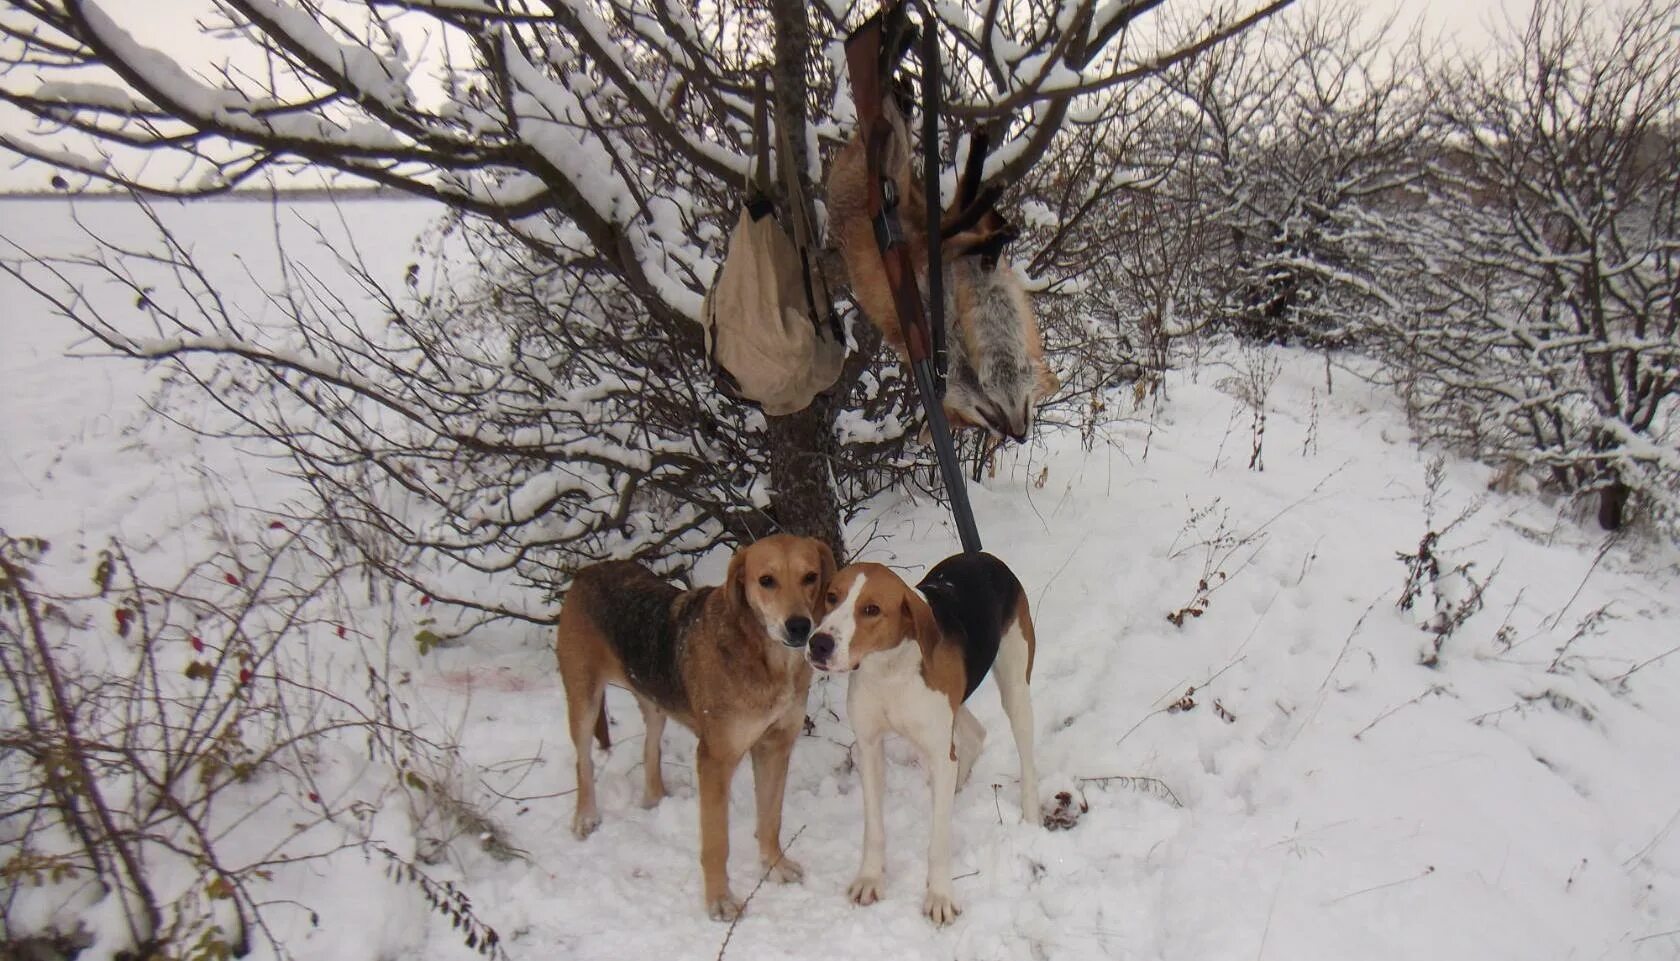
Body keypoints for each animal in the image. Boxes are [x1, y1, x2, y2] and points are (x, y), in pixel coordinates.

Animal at [554, 537, 836, 920]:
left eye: (810, 577)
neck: (766, 658)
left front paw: (774, 866)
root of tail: (588, 570)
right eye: (766, 580)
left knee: (651, 745)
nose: (800, 627)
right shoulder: (715, 760)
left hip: (652, 695)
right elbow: (717, 842)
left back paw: (655, 797)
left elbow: (770, 820)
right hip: (584, 696)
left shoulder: (775, 747)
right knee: (582, 760)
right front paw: (719, 900)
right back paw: (585, 817)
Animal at [799, 551, 1034, 927]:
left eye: (872, 609)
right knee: (974, 735)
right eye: (832, 597)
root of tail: (982, 555)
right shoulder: (869, 748)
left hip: (1015, 688)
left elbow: (938, 842)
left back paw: (1032, 818)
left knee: (1025, 756)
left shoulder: (938, 749)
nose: (819, 643)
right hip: (955, 704)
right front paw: (870, 879)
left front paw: (939, 897)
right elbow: (874, 829)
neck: (889, 670)